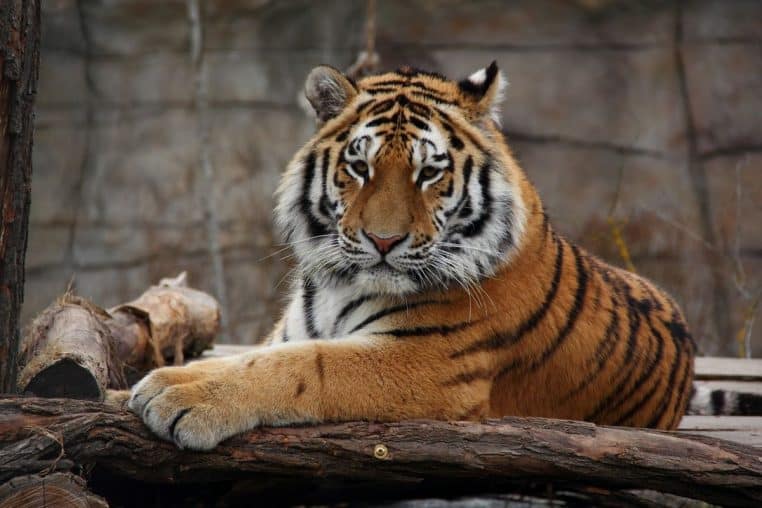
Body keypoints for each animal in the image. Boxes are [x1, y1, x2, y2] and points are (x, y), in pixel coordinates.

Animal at [127, 62, 696, 450]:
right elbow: (254, 355)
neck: (340, 285)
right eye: (359, 167)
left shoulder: (425, 363)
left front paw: (178, 397)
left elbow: (306, 366)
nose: (383, 241)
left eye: (429, 173)